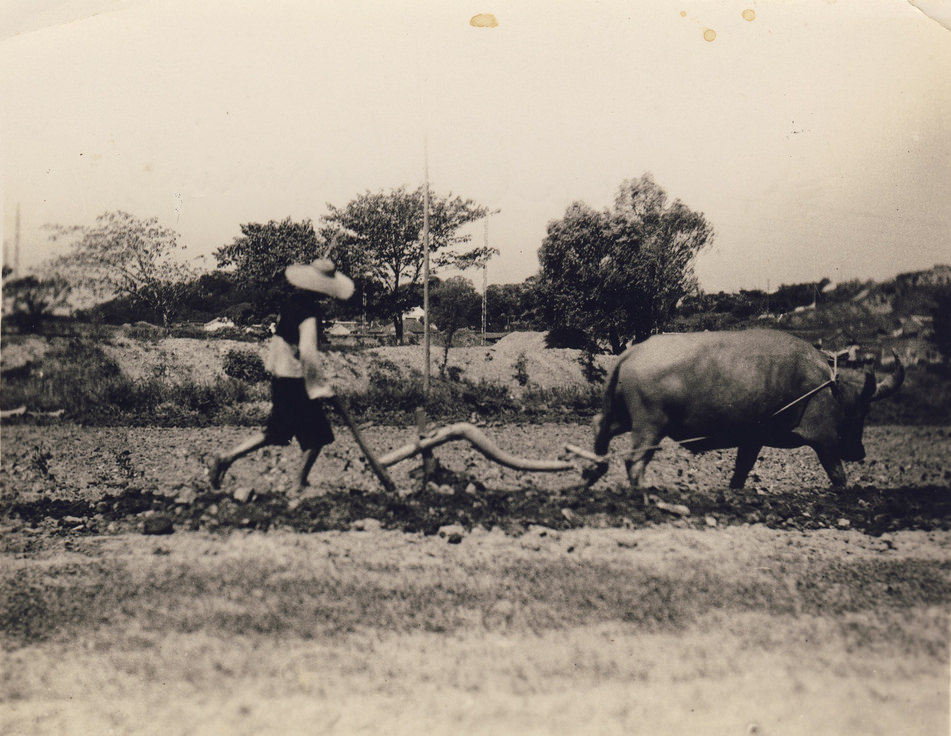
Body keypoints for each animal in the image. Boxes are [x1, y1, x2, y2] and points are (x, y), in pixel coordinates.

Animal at [584, 330, 904, 494]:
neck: (828, 387)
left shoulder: (753, 438)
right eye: (861, 410)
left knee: (601, 426)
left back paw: (592, 472)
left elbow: (741, 471)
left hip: (625, 417)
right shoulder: (824, 440)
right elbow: (838, 475)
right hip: (650, 424)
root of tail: (632, 353)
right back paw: (641, 493)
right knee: (634, 460)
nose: (859, 452)